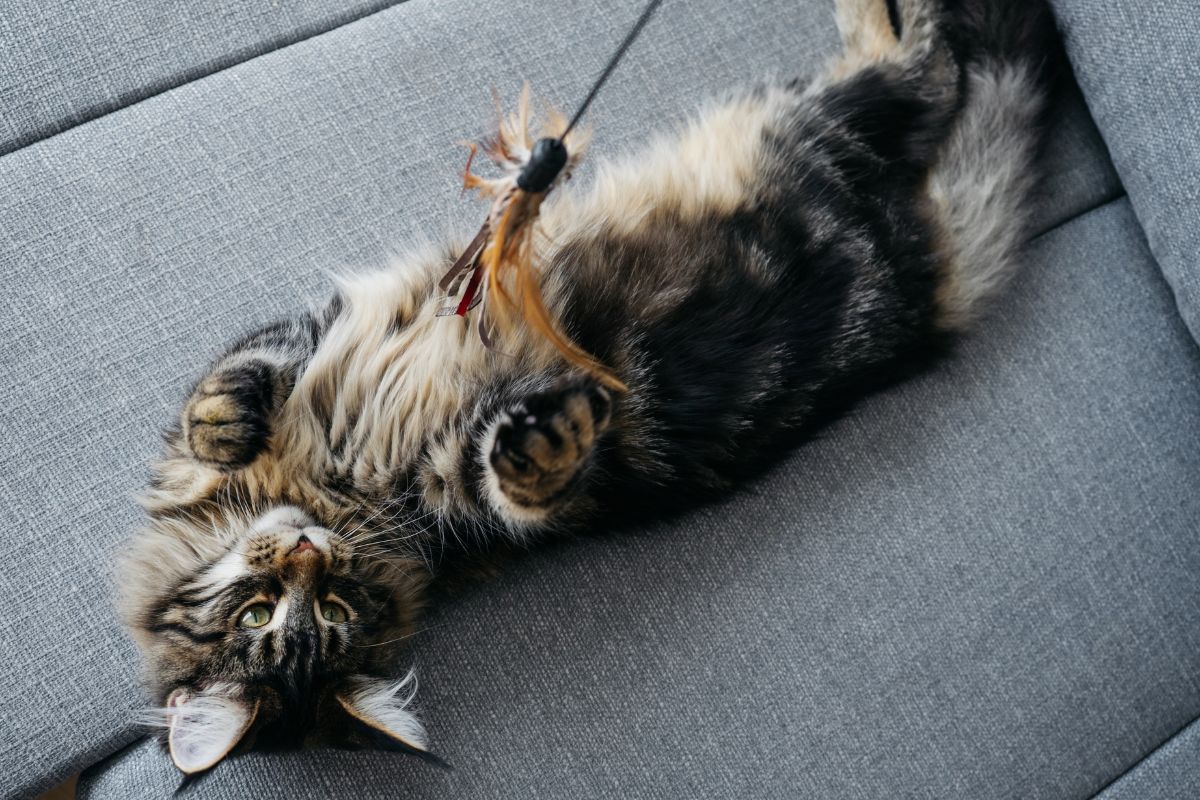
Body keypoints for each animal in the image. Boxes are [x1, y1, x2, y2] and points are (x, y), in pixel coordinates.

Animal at [119, 0, 1060, 777]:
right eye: (271, 618)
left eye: (305, 606)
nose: (309, 551)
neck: (339, 496)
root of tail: (922, 298)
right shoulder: (465, 503)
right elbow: (527, 485)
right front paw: (552, 441)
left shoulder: (292, 347)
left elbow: (219, 394)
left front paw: (228, 424)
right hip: (817, 128)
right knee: (929, 67)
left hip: (811, 124)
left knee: (927, 58)